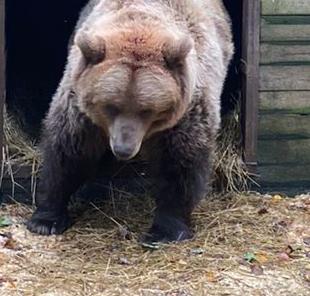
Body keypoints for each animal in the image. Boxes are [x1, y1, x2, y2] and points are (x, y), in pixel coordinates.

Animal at [27, 0, 234, 242]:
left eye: (147, 110)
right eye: (110, 106)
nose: (123, 149)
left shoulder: (187, 111)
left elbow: (179, 163)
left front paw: (165, 230)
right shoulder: (79, 106)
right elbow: (68, 151)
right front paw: (46, 219)